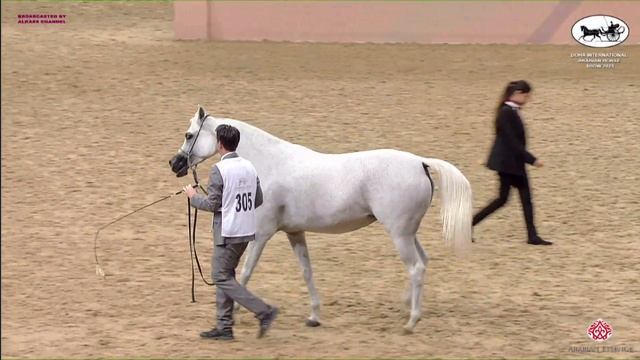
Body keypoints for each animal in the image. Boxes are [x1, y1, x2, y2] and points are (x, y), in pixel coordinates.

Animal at [168, 106, 472, 332]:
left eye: (189, 134)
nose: (175, 164)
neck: (269, 164)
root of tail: (420, 162)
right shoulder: (294, 232)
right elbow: (307, 271)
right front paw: (314, 316)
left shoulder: (262, 233)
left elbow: (244, 272)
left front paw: (239, 312)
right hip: (408, 233)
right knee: (423, 262)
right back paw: (405, 306)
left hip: (399, 234)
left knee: (416, 268)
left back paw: (411, 321)